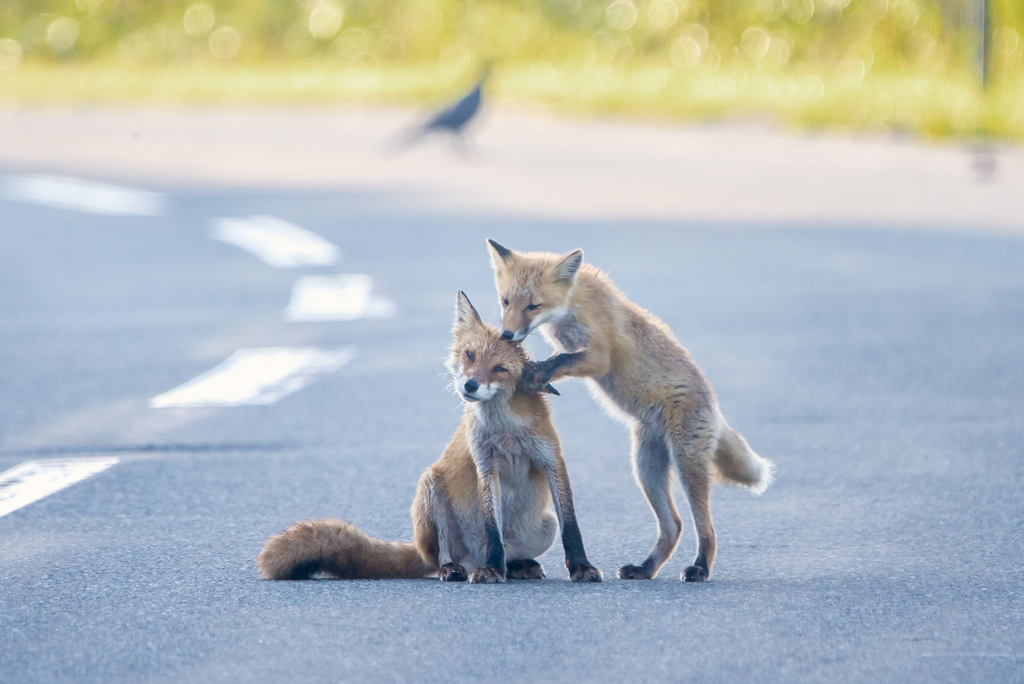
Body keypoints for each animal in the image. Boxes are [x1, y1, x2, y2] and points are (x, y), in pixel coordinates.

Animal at [256, 290, 602, 585]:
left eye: (500, 369)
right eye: (470, 355)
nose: (471, 386)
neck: (507, 431)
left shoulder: (552, 459)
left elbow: (571, 525)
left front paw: (581, 567)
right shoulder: (485, 464)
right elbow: (493, 527)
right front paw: (493, 570)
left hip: (545, 526)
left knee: (512, 551)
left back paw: (517, 566)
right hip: (431, 488)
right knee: (445, 559)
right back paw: (461, 568)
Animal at [485, 240, 770, 581]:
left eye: (533, 306)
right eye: (506, 302)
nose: (507, 335)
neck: (574, 304)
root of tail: (715, 407)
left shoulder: (599, 356)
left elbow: (562, 361)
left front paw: (535, 372)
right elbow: (558, 359)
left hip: (687, 464)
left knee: (707, 529)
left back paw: (699, 567)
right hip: (646, 467)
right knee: (673, 526)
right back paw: (645, 568)